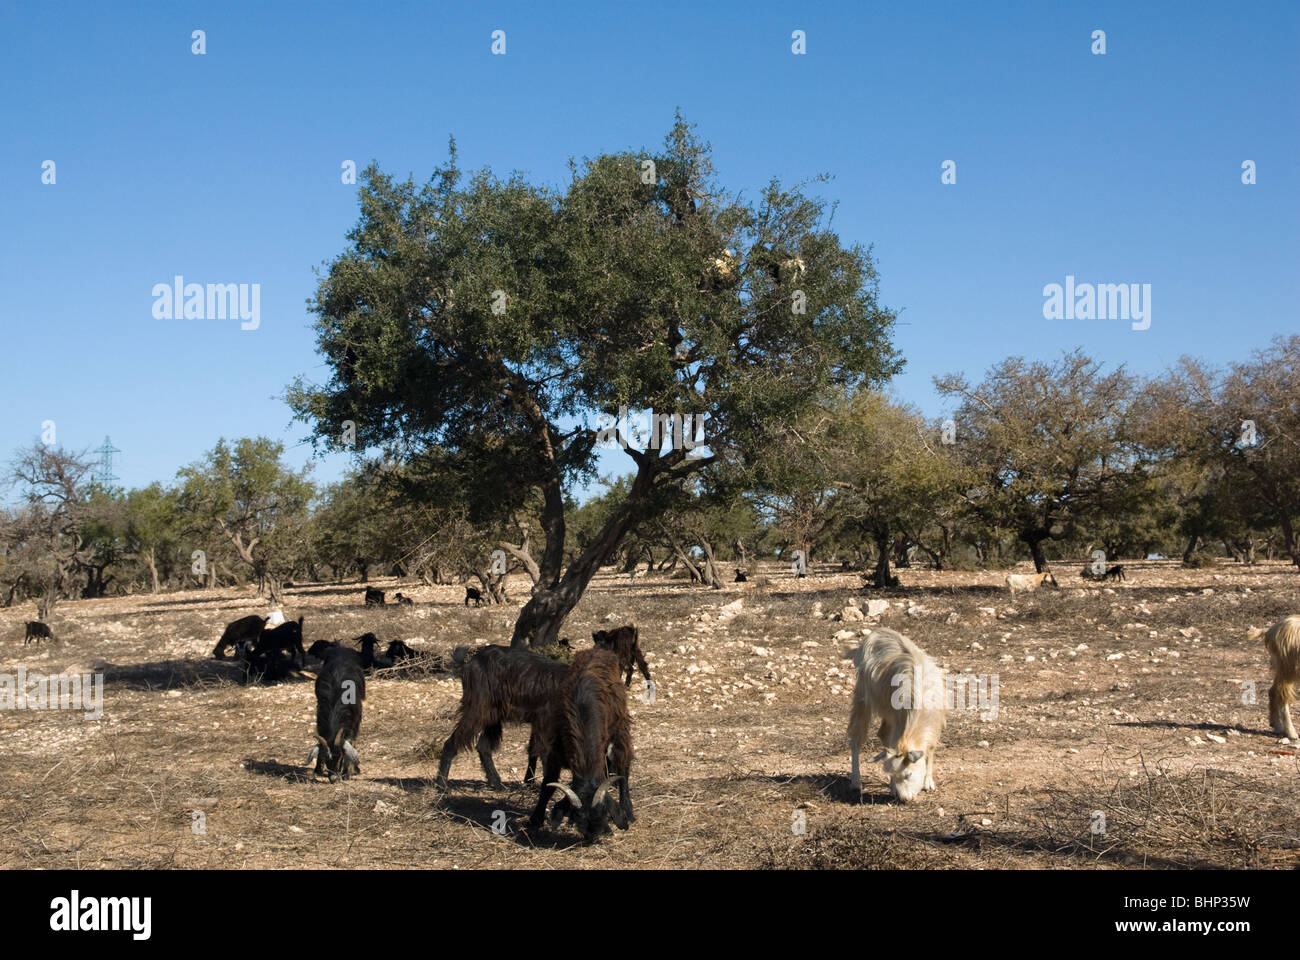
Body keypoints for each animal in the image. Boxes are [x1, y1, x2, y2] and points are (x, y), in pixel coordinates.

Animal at [305, 642, 366, 780]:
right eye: (326, 758)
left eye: (341, 756)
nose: (333, 778)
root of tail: (340, 647)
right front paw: (318, 770)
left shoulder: (354, 721)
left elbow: (352, 740)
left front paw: (348, 772)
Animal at [436, 640, 569, 790]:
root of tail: (469, 663)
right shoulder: (545, 721)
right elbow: (544, 752)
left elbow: (533, 750)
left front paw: (529, 782)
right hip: (478, 709)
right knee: (451, 744)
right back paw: (441, 786)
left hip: (493, 715)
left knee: (483, 746)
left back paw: (496, 782)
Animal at [525, 647, 631, 842]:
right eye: (577, 817)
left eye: (603, 813)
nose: (592, 837)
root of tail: (599, 651)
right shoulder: (556, 750)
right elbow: (547, 784)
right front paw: (535, 819)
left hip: (621, 728)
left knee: (624, 765)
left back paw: (629, 810)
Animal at [842, 629, 946, 801]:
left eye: (908, 774)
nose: (904, 799)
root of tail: (876, 633)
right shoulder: (898, 719)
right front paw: (893, 788)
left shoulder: (935, 721)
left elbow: (930, 748)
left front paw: (928, 782)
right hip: (863, 696)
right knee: (857, 737)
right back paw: (856, 782)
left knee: (882, 733)